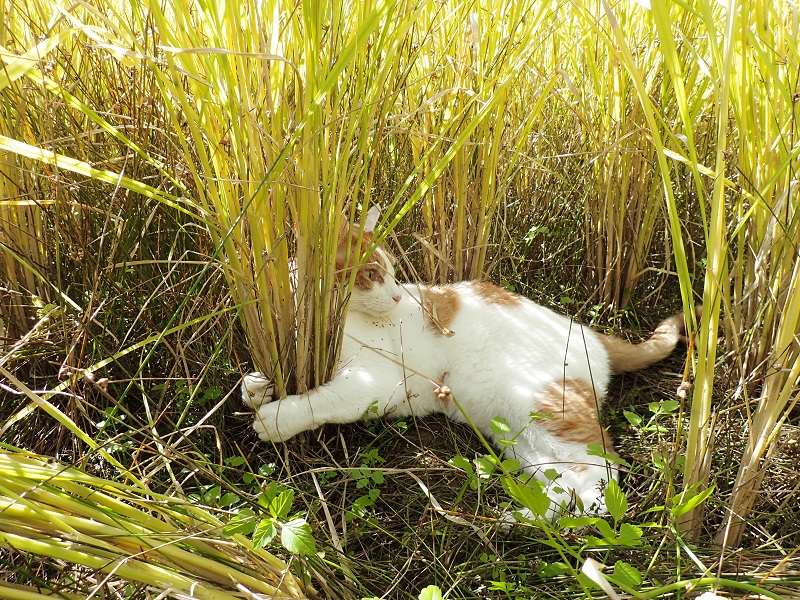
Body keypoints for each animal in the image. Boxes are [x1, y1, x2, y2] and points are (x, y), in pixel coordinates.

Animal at [242, 208, 689, 519]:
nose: (399, 296)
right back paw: (525, 518)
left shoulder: (374, 382)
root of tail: (587, 331)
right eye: (372, 273)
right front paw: (258, 386)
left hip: (540, 403)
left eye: (392, 273)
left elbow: (322, 400)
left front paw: (276, 418)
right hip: (518, 436)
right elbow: (262, 384)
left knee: (601, 473)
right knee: (565, 481)